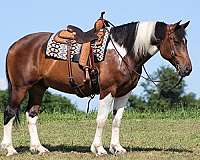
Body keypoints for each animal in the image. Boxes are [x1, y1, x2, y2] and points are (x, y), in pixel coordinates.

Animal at [1, 19, 192, 156]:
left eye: (185, 41)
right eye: (175, 40)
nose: (188, 69)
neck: (123, 53)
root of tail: (15, 45)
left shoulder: (124, 93)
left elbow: (117, 120)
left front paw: (117, 148)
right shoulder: (107, 91)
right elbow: (101, 119)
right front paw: (99, 149)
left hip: (38, 88)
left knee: (31, 115)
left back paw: (38, 148)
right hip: (20, 88)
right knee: (10, 112)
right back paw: (10, 149)